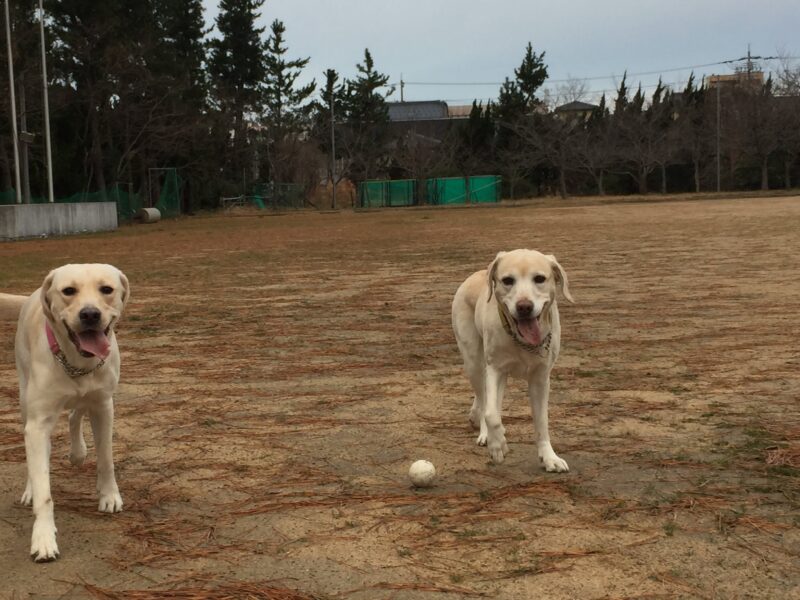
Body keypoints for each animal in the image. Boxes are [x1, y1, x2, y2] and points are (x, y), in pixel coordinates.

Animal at [0, 264, 128, 560]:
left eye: (107, 289)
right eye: (68, 291)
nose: (90, 314)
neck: (77, 363)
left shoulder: (104, 406)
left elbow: (106, 459)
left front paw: (109, 496)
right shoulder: (37, 423)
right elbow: (44, 490)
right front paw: (44, 538)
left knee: (75, 413)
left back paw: (78, 453)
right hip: (24, 399)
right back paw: (30, 489)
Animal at [450, 251, 576, 472]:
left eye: (539, 279)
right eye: (508, 280)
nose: (524, 307)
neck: (522, 341)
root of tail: (475, 274)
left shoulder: (540, 378)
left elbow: (542, 423)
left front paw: (549, 458)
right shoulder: (495, 369)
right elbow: (491, 413)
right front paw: (497, 444)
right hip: (474, 362)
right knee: (483, 399)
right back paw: (486, 434)